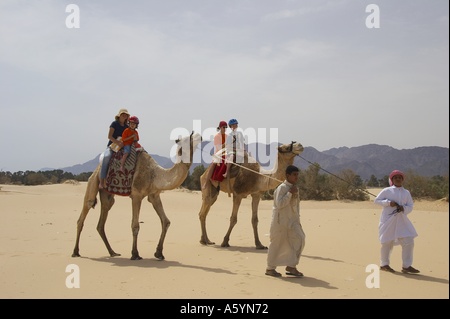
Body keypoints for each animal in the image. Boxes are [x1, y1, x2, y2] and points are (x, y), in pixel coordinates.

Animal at [71, 131, 202, 262]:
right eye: (187, 138)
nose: (199, 135)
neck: (155, 175)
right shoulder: (136, 195)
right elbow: (135, 225)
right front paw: (135, 254)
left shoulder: (154, 195)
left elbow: (166, 222)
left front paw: (159, 253)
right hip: (94, 181)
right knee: (84, 211)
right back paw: (75, 252)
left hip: (106, 194)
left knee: (101, 221)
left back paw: (112, 252)